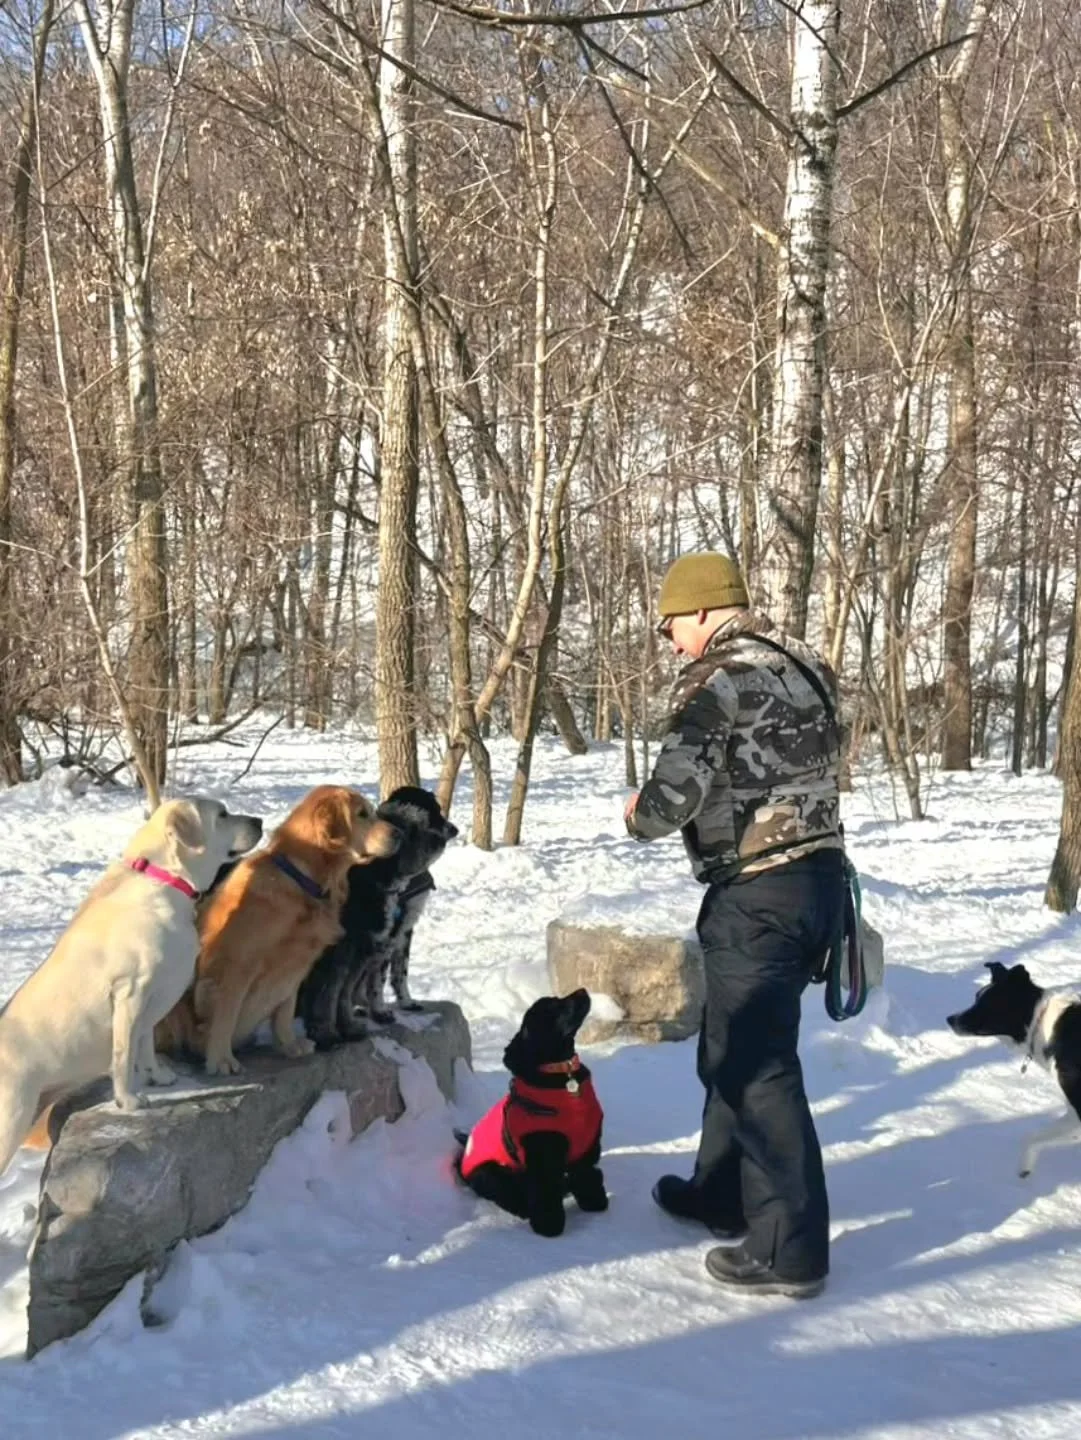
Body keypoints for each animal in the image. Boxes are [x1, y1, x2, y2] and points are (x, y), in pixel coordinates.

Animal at [0, 798, 262, 1177]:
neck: (166, 879)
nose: (259, 821)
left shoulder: (150, 1001)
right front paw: (128, 1101)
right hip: (11, 1120)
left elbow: (145, 1043)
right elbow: (123, 1055)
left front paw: (158, 1077)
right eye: (222, 814)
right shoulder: (130, 992)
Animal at [156, 785, 399, 1075]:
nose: (399, 833)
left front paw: (289, 1045)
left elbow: (285, 1010)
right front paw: (221, 1059)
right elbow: (225, 1016)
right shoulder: (236, 966)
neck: (303, 881)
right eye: (362, 814)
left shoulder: (297, 966)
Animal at [298, 786, 457, 1047]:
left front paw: (401, 1003)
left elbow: (394, 973)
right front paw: (373, 1013)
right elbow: (360, 984)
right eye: (432, 812)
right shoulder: (362, 942)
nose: (451, 831)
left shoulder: (393, 932)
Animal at [454, 989, 607, 1236]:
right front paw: (549, 1226)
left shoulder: (587, 1145)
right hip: (492, 1172)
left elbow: (587, 1176)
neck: (563, 1076)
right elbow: (545, 1194)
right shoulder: (542, 1155)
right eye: (551, 1008)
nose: (582, 991)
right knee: (512, 1197)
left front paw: (594, 1203)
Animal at [948, 961, 1081, 1177]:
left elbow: (1030, 1138)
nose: (949, 1019)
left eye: (985, 1004)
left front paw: (1024, 1168)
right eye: (976, 997)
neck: (1038, 1023)